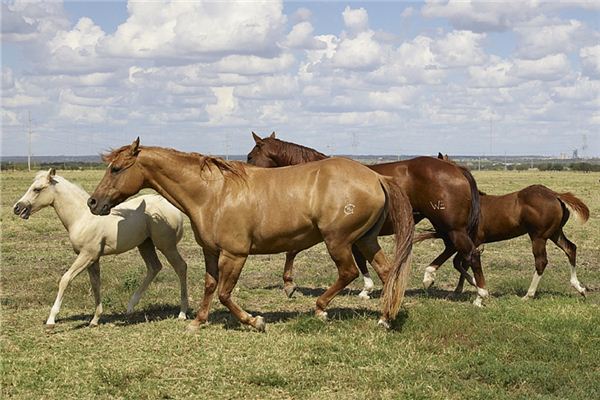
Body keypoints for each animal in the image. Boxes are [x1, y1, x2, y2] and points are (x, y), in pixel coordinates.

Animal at [14, 169, 189, 328]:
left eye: (37, 189)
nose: (17, 208)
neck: (82, 217)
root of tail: (173, 208)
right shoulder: (93, 259)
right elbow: (95, 284)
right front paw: (95, 320)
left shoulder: (87, 255)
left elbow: (65, 279)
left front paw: (51, 320)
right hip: (145, 244)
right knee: (154, 267)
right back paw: (130, 307)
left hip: (166, 245)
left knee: (181, 267)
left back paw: (182, 313)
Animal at [89, 138, 414, 332]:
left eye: (116, 168)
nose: (93, 203)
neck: (212, 193)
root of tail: (376, 177)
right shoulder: (211, 251)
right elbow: (210, 286)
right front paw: (197, 321)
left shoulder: (235, 254)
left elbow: (224, 292)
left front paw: (254, 321)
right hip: (366, 239)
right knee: (387, 271)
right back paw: (385, 317)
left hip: (339, 240)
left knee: (348, 272)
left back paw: (321, 309)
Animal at [247, 133, 488, 304]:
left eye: (250, 156)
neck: (317, 177)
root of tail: (455, 168)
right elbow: (362, 259)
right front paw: (369, 288)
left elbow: (292, 250)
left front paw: (289, 284)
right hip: (446, 225)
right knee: (453, 248)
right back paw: (432, 275)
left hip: (451, 226)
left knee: (471, 253)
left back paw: (480, 293)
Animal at [414, 155, 588, 298]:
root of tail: (556, 195)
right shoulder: (462, 242)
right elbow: (461, 263)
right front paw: (462, 288)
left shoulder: (464, 240)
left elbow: (459, 262)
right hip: (554, 233)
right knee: (570, 248)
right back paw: (580, 288)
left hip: (539, 236)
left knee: (541, 261)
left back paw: (528, 295)